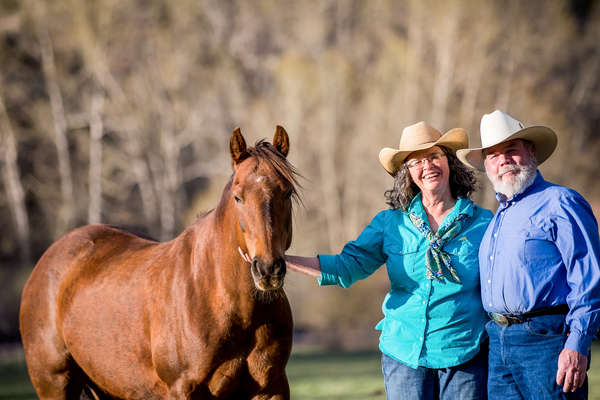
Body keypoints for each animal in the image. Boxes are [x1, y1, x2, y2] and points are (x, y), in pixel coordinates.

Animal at [20, 126, 298, 398]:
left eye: (287, 193)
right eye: (238, 197)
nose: (268, 269)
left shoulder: (272, 388)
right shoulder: (182, 389)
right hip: (54, 383)